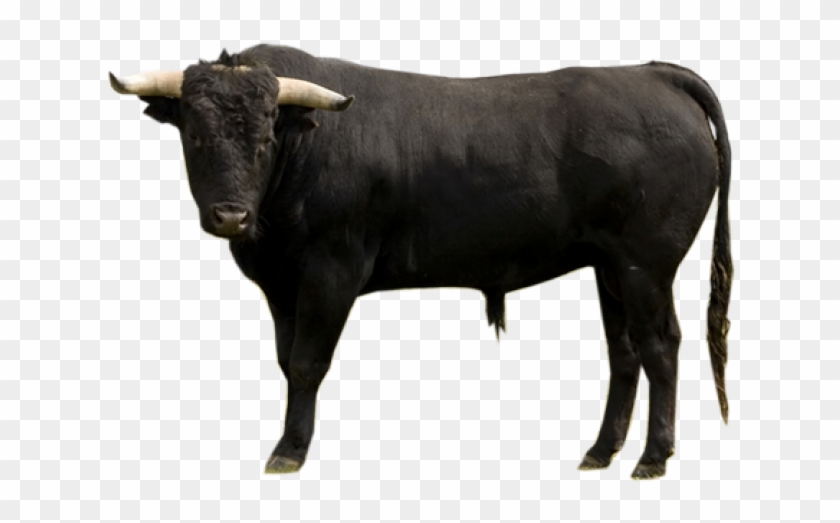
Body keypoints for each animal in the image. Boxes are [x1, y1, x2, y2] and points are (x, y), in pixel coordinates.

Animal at [109, 44, 733, 479]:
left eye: (266, 138)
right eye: (194, 136)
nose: (230, 217)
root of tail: (651, 73)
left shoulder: (331, 270)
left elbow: (308, 364)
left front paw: (288, 452)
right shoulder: (281, 284)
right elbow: (288, 362)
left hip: (647, 264)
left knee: (660, 347)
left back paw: (652, 457)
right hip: (610, 267)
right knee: (624, 353)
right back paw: (602, 451)